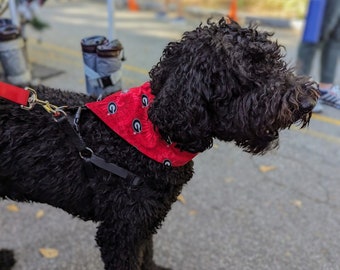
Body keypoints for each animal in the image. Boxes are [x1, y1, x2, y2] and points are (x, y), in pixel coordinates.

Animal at [0, 19, 318, 270]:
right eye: (251, 70)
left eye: (275, 60)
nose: (308, 101)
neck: (152, 130)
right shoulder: (121, 232)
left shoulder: (146, 221)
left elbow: (148, 255)